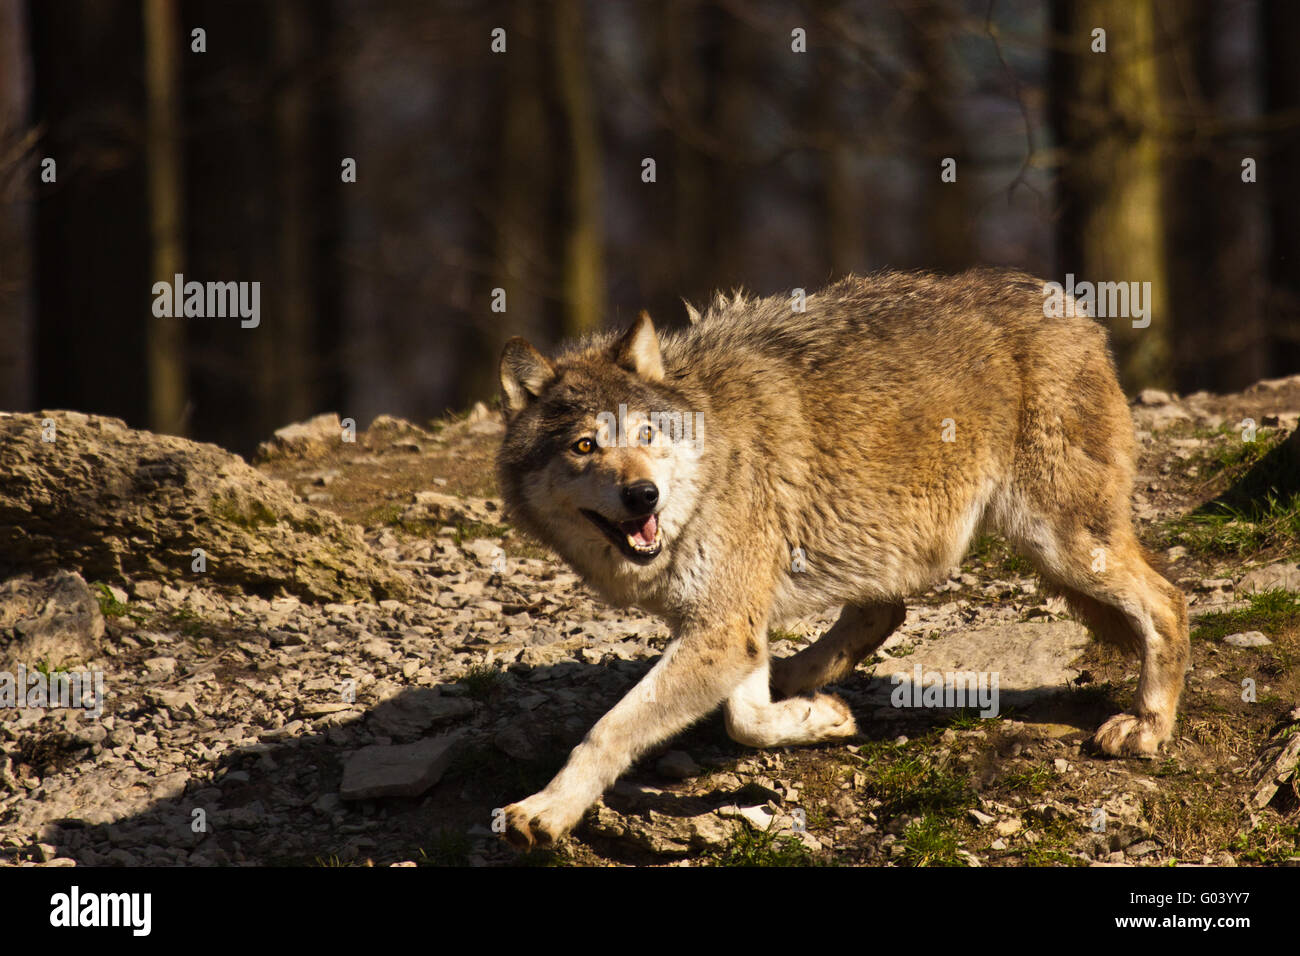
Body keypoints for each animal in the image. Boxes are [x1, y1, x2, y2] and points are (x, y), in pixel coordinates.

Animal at [493, 269, 1190, 842]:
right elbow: (745, 718)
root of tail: (1073, 309)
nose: (643, 494)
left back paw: (1148, 727)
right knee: (882, 614)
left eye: (645, 433)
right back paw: (801, 677)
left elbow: (613, 729)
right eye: (585, 445)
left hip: (1063, 545)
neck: (713, 462)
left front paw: (545, 810)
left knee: (1169, 602)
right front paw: (819, 719)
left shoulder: (722, 628)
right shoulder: (732, 626)